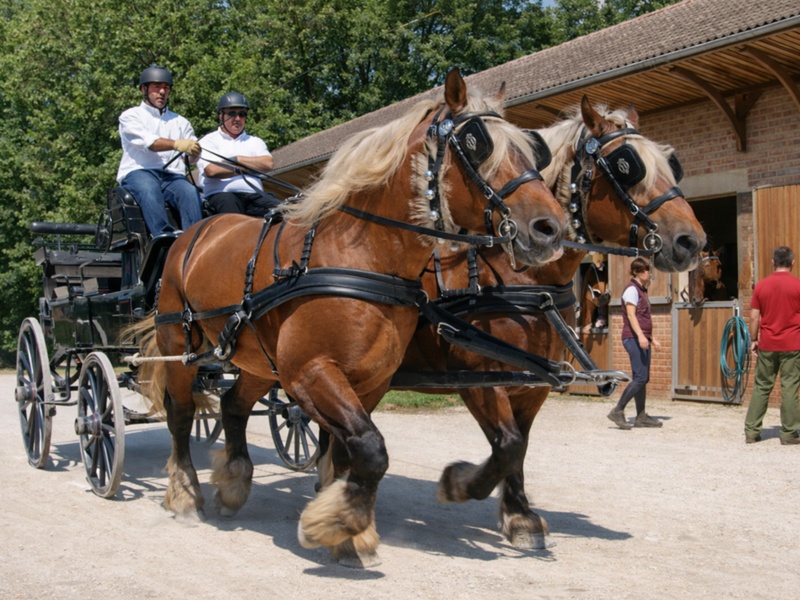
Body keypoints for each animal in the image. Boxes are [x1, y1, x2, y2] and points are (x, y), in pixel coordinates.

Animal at [130, 68, 567, 568]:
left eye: (532, 150)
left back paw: (234, 484)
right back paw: (185, 494)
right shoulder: (310, 372)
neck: (362, 258)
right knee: (182, 414)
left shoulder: (369, 380)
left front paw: (343, 523)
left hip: (258, 359)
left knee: (233, 406)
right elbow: (372, 450)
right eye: (476, 144)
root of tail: (193, 232)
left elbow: (349, 449)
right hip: (179, 343)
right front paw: (338, 523)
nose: (550, 229)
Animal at [387, 96, 706, 549]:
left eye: (670, 164)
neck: (516, 280)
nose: (691, 241)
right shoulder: (480, 375)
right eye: (626, 164)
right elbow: (506, 445)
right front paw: (459, 484)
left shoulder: (534, 381)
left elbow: (519, 447)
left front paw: (520, 515)